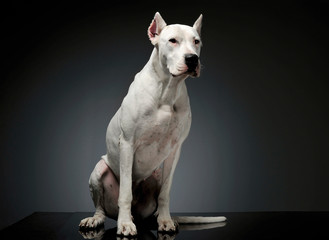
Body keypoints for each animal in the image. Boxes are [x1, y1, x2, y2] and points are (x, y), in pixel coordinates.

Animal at [79, 12, 226, 235]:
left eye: (196, 41)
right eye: (172, 40)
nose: (192, 59)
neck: (168, 89)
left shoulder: (175, 150)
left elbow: (165, 192)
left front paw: (165, 221)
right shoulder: (128, 143)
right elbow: (125, 193)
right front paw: (124, 224)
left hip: (155, 175)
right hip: (99, 170)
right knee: (101, 208)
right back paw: (98, 219)